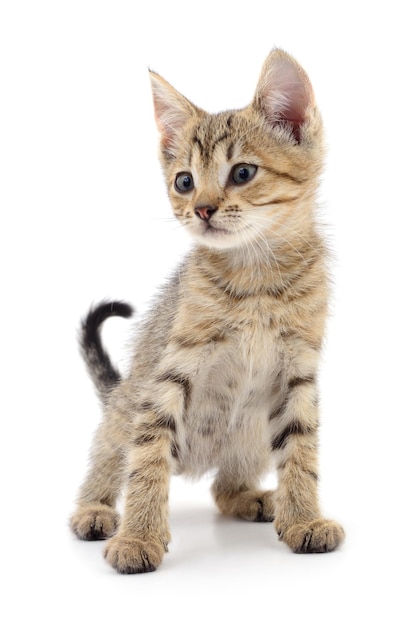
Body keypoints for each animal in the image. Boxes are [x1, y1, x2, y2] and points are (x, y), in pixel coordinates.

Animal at [70, 48, 344, 572]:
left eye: (242, 173)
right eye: (184, 181)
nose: (201, 209)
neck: (256, 279)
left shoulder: (298, 371)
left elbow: (301, 448)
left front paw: (304, 517)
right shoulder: (168, 373)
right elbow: (148, 456)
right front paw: (139, 536)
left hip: (251, 434)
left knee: (222, 487)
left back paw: (253, 497)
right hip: (123, 409)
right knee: (110, 457)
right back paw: (94, 509)